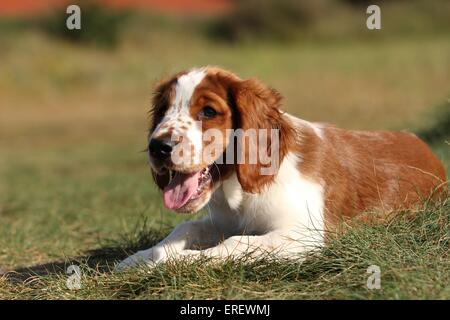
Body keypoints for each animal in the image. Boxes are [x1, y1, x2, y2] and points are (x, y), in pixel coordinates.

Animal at [116, 65, 446, 270]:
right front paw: (141, 257)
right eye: (162, 111)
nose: (157, 147)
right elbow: (187, 226)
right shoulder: (223, 221)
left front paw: (173, 261)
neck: (242, 193)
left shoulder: (303, 235)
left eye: (208, 111)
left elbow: (234, 244)